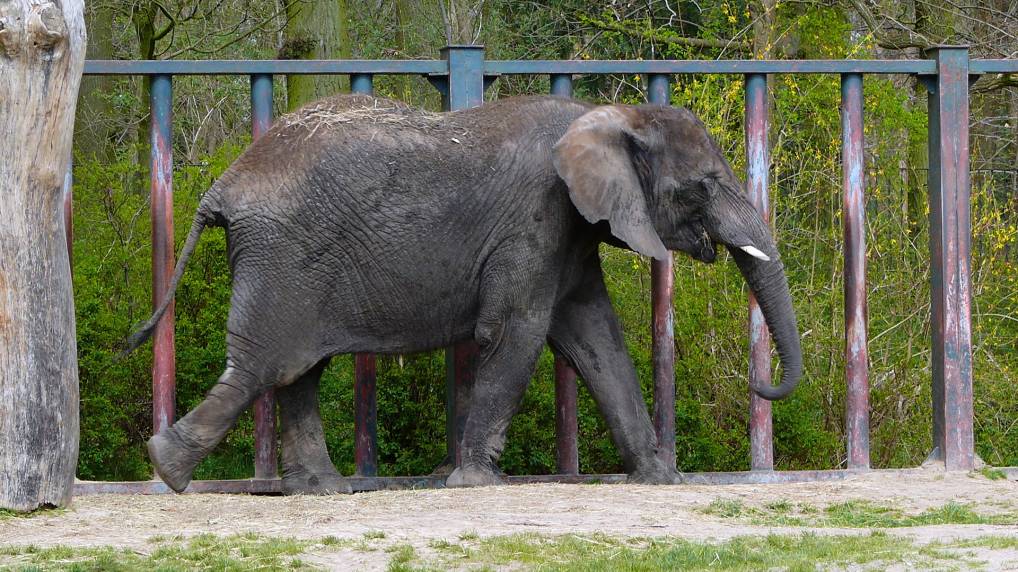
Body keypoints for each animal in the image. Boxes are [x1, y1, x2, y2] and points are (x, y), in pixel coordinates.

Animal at [125, 92, 802, 490]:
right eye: (702, 186)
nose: (758, 383)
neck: (608, 113)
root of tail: (224, 184)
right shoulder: (537, 215)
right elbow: (515, 332)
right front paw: (475, 482)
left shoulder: (570, 230)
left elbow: (596, 339)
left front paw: (662, 478)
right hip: (285, 259)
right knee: (264, 366)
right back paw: (168, 468)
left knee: (298, 372)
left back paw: (322, 488)